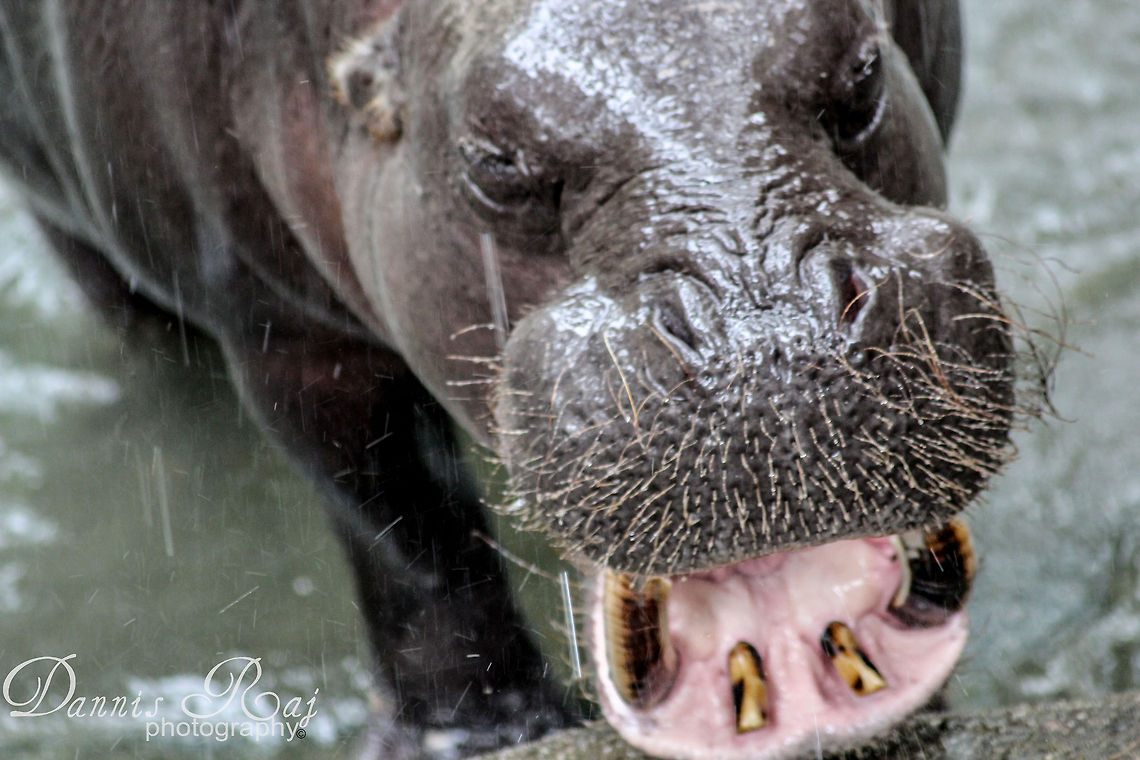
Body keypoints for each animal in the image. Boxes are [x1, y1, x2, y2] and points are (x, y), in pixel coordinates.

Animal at [0, 0, 1022, 758]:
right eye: (494, 160)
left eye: (865, 72)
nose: (770, 339)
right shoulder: (284, 336)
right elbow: (406, 531)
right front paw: (482, 735)